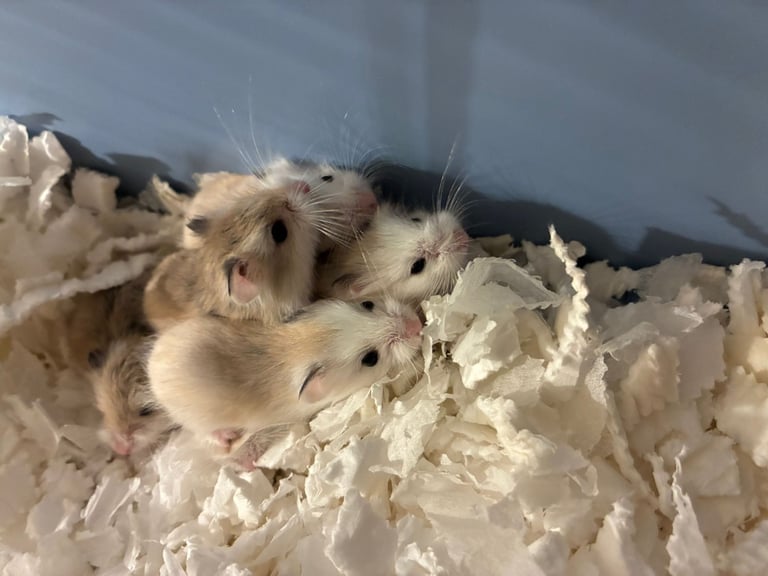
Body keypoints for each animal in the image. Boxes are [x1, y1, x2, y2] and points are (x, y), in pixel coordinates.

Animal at [147, 297, 423, 457]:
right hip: (198, 420)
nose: (418, 325)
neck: (300, 347)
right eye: (370, 359)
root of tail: (151, 366)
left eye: (367, 304)